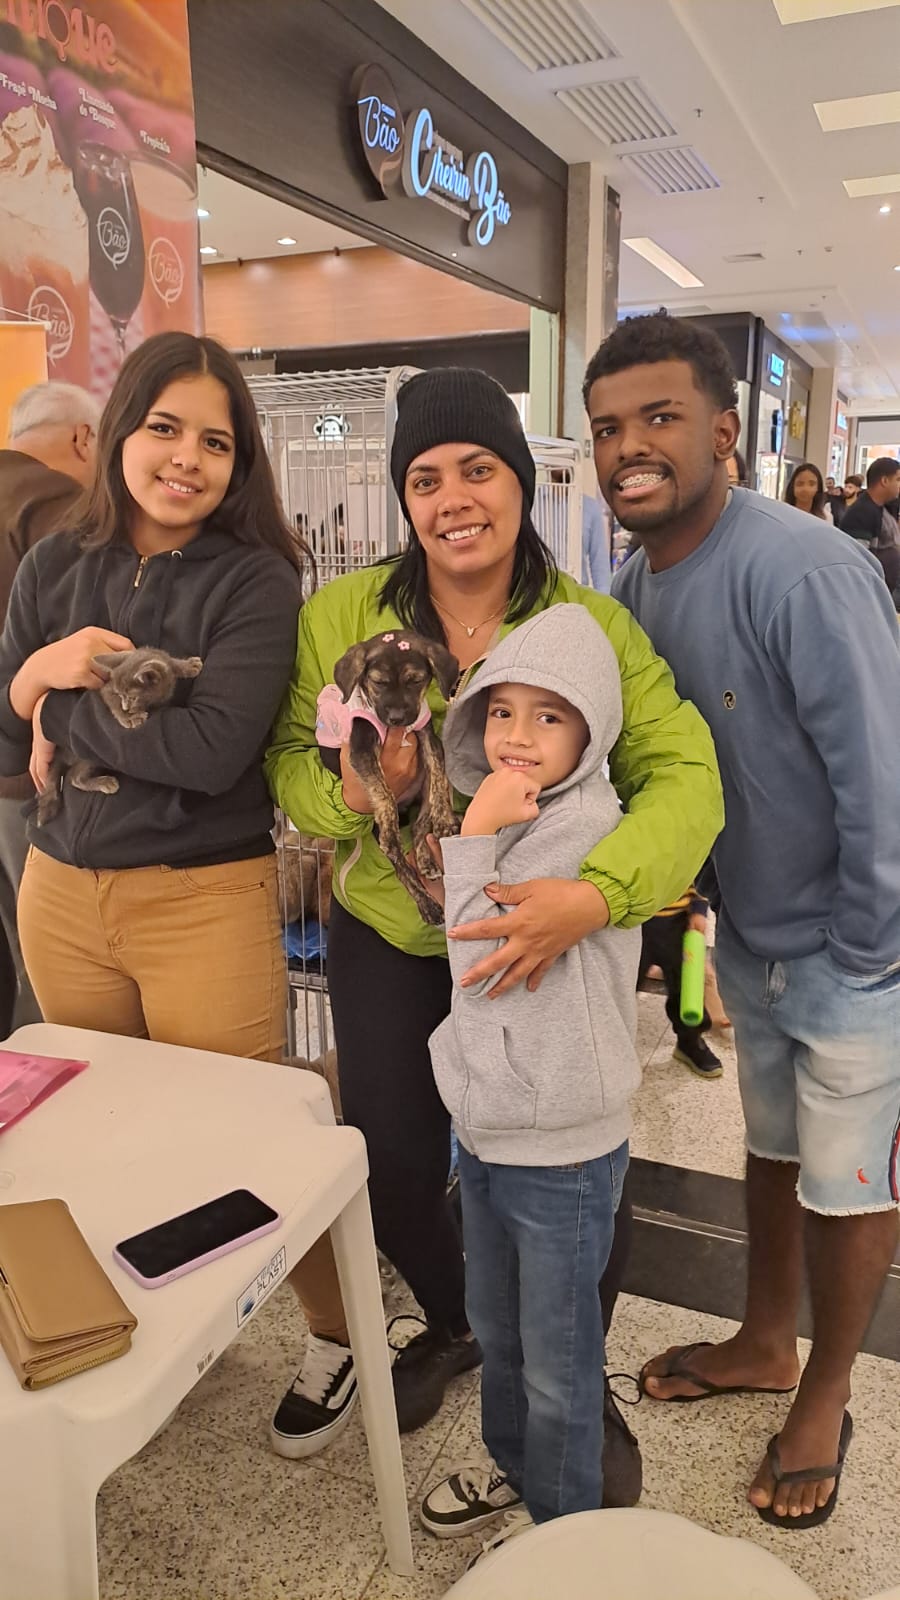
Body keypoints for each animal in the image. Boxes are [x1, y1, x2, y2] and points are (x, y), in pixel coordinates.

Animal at [36, 647, 203, 825]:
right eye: (120, 695)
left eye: (132, 697)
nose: (126, 708)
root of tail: (59, 752)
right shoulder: (106, 689)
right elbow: (112, 703)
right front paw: (128, 718)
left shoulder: (161, 661)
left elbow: (170, 662)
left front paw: (188, 665)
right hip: (88, 754)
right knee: (75, 778)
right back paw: (104, 782)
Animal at [324, 630, 459, 926]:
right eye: (378, 682)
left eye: (415, 681)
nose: (397, 718)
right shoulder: (361, 749)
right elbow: (384, 792)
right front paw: (390, 822)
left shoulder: (428, 735)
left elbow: (439, 774)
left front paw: (444, 819)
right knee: (397, 859)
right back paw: (427, 904)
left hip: (423, 790)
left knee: (420, 827)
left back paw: (426, 861)